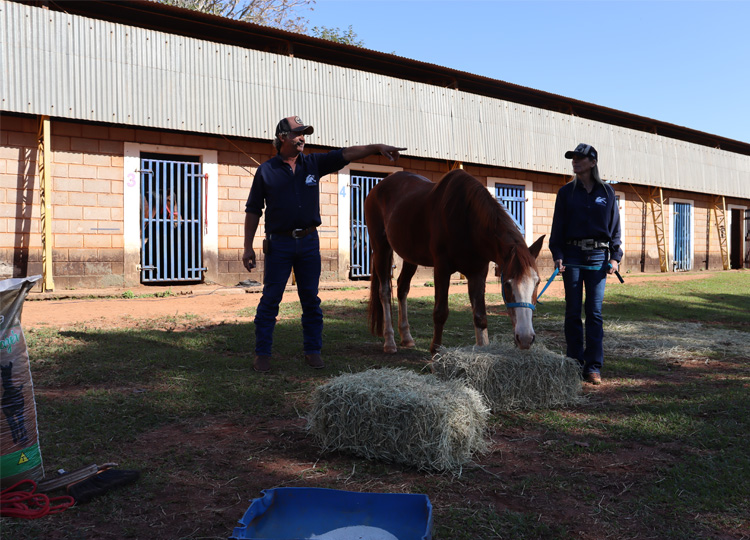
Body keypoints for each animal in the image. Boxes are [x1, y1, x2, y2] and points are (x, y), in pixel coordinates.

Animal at [366, 170, 548, 354]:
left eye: (537, 282)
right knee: (385, 292)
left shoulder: (478, 273)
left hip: (410, 257)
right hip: (381, 248)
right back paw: (389, 341)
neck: (467, 220)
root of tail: (376, 189)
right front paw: (435, 351)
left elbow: (480, 316)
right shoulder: (442, 269)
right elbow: (440, 312)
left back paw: (407, 338)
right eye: (507, 284)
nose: (525, 338)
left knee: (402, 288)